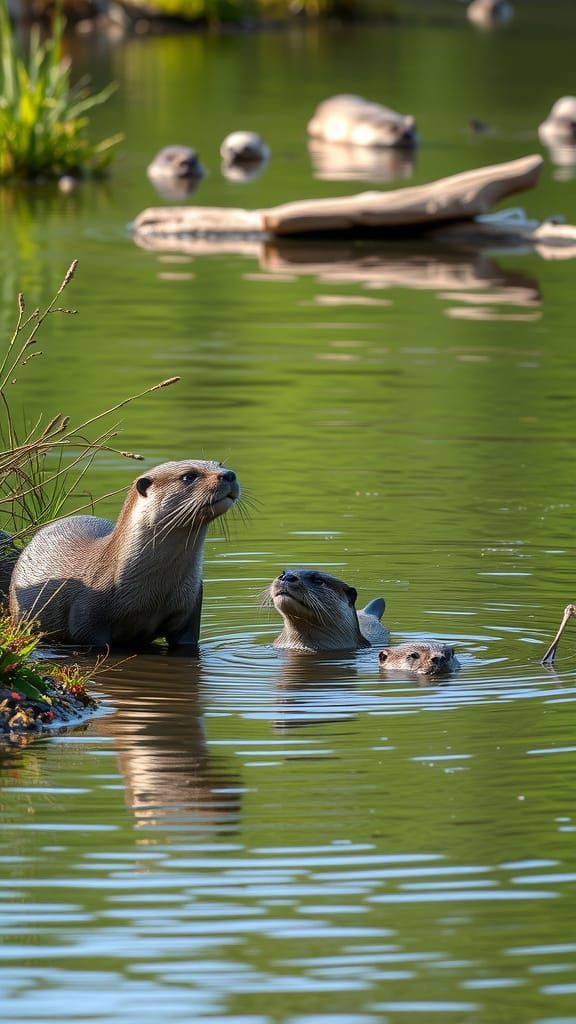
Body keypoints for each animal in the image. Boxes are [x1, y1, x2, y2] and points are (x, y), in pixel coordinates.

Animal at [9, 460, 239, 649]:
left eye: (219, 464)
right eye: (189, 476)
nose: (229, 474)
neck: (155, 593)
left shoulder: (191, 605)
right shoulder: (87, 619)